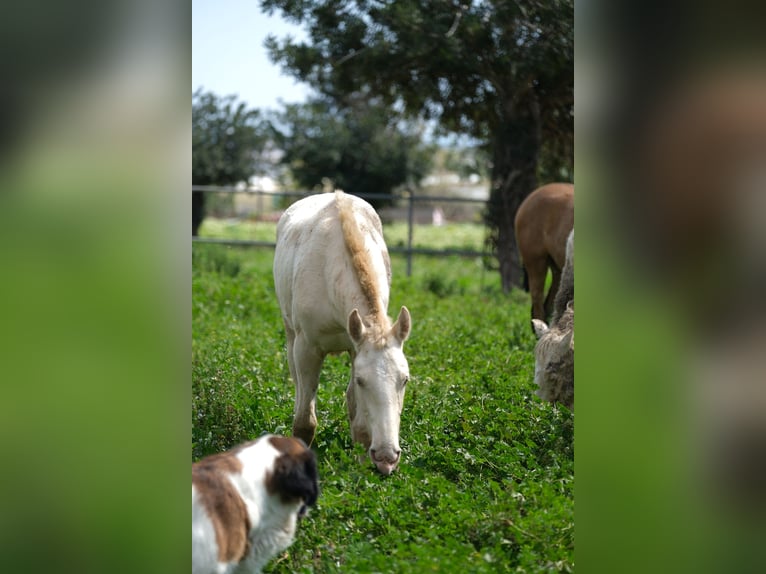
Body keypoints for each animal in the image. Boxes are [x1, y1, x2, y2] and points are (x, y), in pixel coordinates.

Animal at [273, 191, 412, 475]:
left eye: (405, 380)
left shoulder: (355, 347)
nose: (387, 457)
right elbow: (304, 422)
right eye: (362, 380)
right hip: (291, 336)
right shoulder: (306, 349)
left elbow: (358, 419)